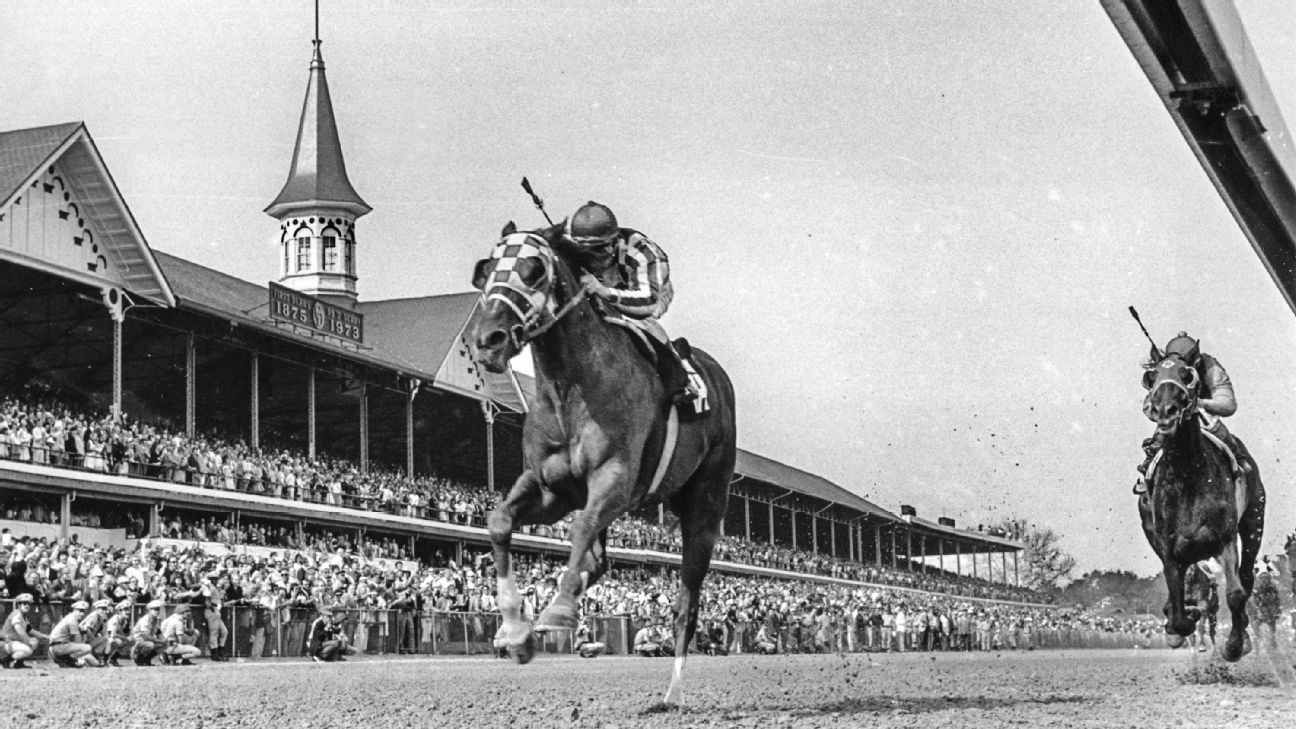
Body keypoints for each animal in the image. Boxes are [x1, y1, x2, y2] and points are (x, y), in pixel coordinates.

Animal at [469, 221, 736, 705]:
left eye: (534, 270)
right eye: (486, 268)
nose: (487, 340)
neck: (570, 390)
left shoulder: (615, 480)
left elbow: (580, 527)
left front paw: (557, 611)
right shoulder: (550, 488)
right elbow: (499, 522)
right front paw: (516, 632)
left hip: (706, 504)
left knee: (686, 604)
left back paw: (671, 694)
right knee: (598, 562)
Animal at [1140, 352, 1259, 658]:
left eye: (1187, 374)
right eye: (1152, 377)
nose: (1165, 410)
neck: (1187, 473)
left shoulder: (1224, 538)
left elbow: (1236, 594)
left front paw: (1235, 645)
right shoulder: (1169, 548)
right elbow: (1179, 612)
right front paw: (1177, 626)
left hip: (1254, 519)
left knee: (1246, 575)